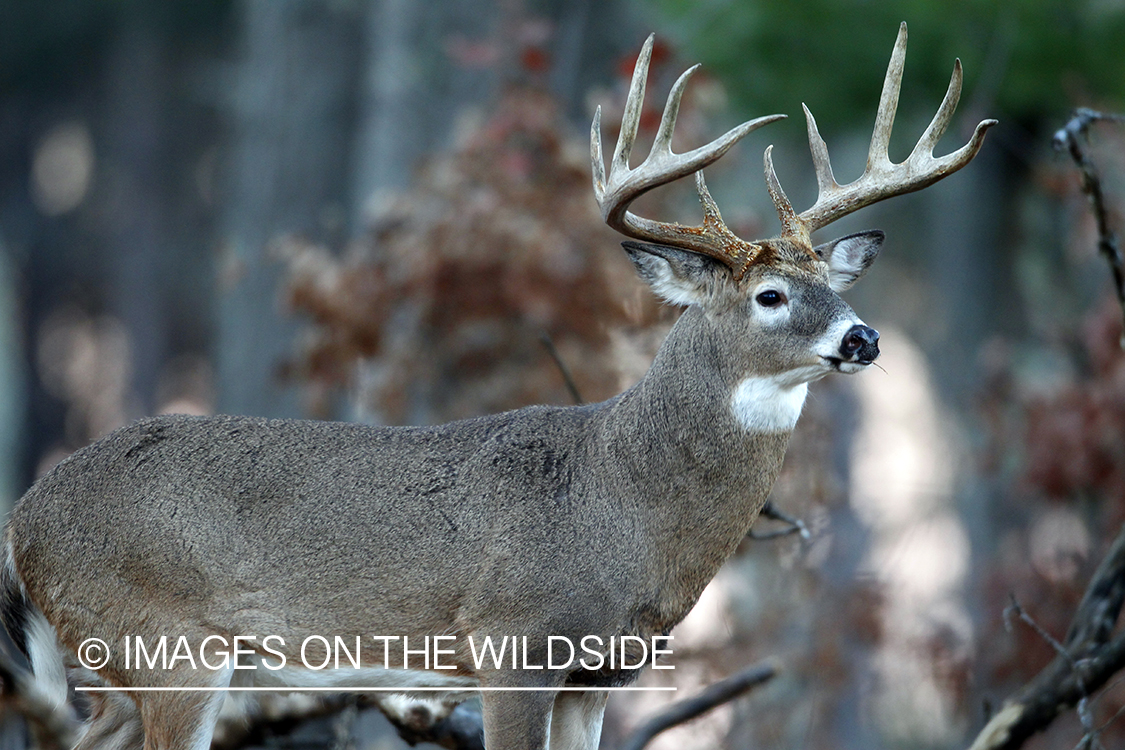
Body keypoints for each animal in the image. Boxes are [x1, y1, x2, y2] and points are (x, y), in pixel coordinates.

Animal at [4, 22, 999, 750]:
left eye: (836, 281)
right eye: (770, 295)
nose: (864, 338)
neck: (622, 499)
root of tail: (22, 520)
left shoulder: (601, 673)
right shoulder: (509, 641)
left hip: (125, 671)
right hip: (166, 644)